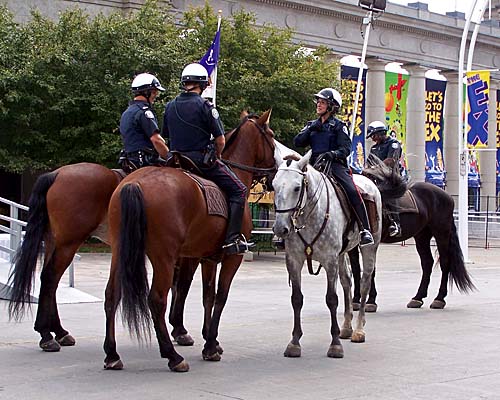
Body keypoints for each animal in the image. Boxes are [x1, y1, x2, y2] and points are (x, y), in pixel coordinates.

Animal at [102, 110, 276, 372]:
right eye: (272, 136)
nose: (275, 172)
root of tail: (133, 183)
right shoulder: (231, 257)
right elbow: (220, 296)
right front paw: (210, 345)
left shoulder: (206, 257)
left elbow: (207, 295)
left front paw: (210, 339)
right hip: (163, 257)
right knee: (157, 300)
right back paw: (172, 356)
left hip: (120, 251)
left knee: (112, 294)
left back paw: (112, 354)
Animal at [272, 152, 380, 358]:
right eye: (273, 186)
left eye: (297, 188)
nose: (280, 229)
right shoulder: (294, 260)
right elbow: (296, 299)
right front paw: (294, 343)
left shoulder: (330, 261)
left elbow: (331, 299)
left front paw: (335, 345)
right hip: (343, 253)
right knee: (347, 281)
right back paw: (346, 327)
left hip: (369, 248)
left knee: (364, 283)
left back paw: (358, 330)